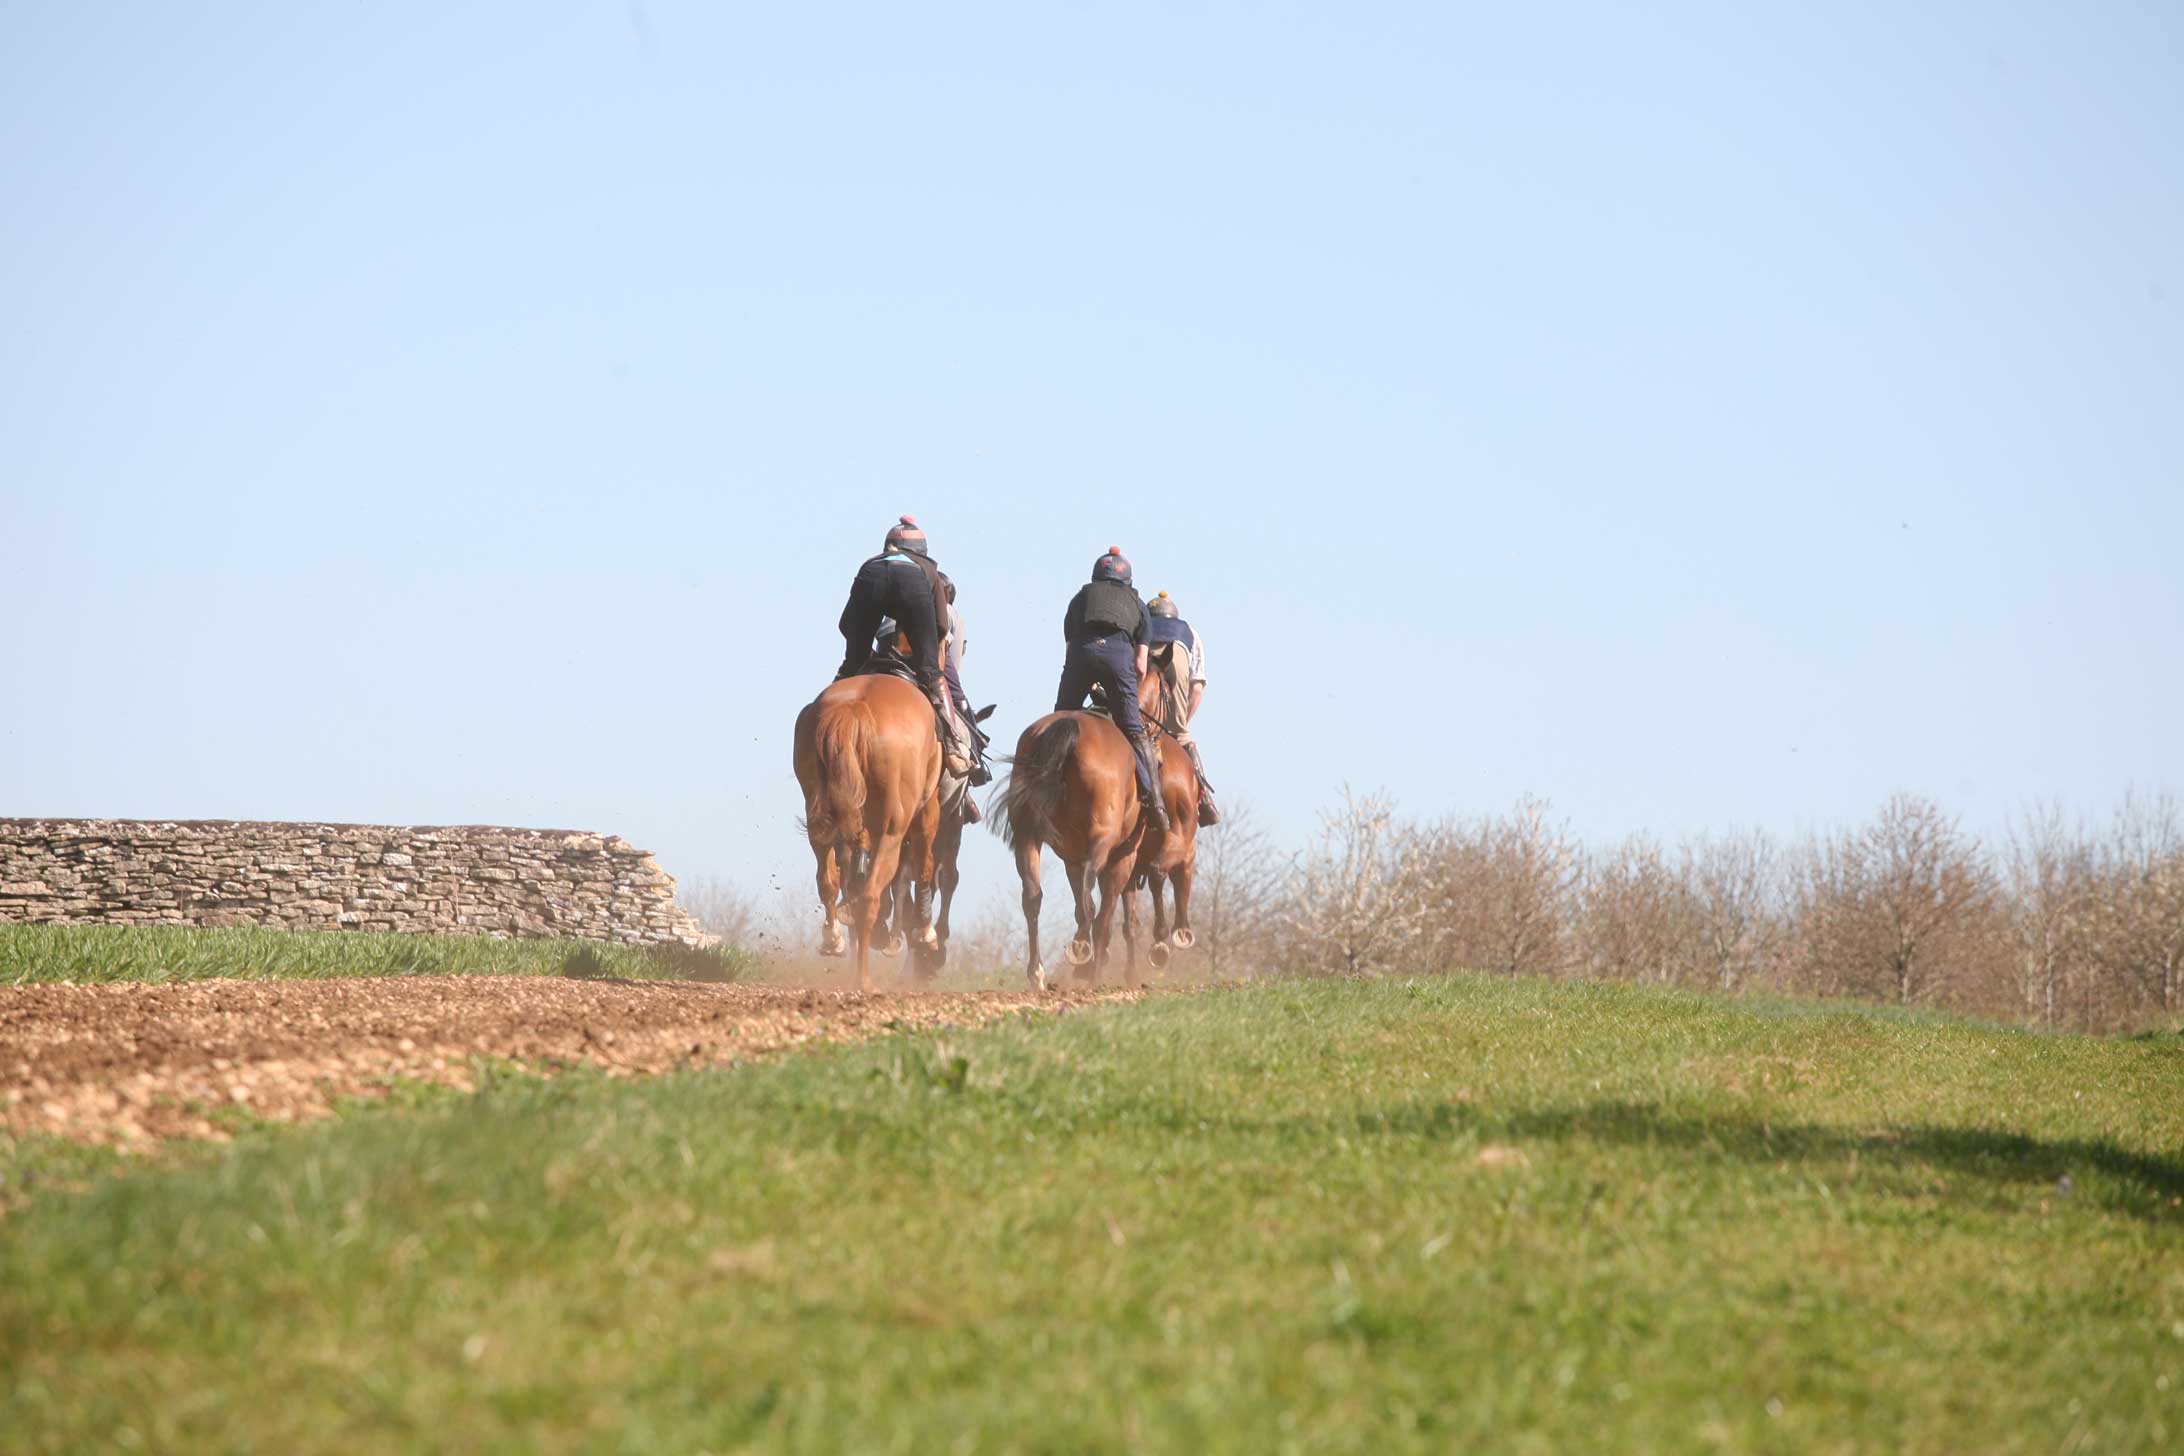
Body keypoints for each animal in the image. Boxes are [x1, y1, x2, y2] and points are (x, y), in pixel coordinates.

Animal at [799, 672, 943, 991]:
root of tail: (854, 708)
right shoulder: (927, 811)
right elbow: (925, 866)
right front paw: (925, 931)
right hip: (891, 833)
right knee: (870, 895)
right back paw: (864, 979)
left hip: (820, 820)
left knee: (828, 880)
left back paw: (834, 940)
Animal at [995, 707, 1144, 991]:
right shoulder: (1123, 858)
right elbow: (1104, 912)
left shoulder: (1072, 859)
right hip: (1101, 842)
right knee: (1091, 906)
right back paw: (1087, 962)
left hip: (1028, 837)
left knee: (1033, 897)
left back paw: (1038, 973)